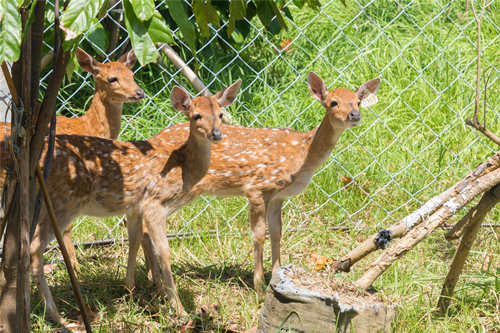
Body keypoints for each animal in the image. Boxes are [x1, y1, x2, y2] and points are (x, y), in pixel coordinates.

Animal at [22, 80, 242, 324]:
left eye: (220, 114)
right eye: (196, 116)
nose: (216, 133)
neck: (183, 167)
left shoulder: (135, 207)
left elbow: (134, 241)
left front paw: (130, 290)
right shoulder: (154, 203)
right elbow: (163, 251)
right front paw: (179, 309)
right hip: (62, 202)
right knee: (34, 247)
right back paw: (56, 315)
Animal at [137, 72, 378, 294]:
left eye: (357, 101)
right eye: (333, 102)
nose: (355, 114)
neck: (302, 154)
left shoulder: (278, 196)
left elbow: (277, 231)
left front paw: (277, 276)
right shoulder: (257, 188)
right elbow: (259, 235)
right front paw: (259, 287)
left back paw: (151, 279)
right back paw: (155, 281)